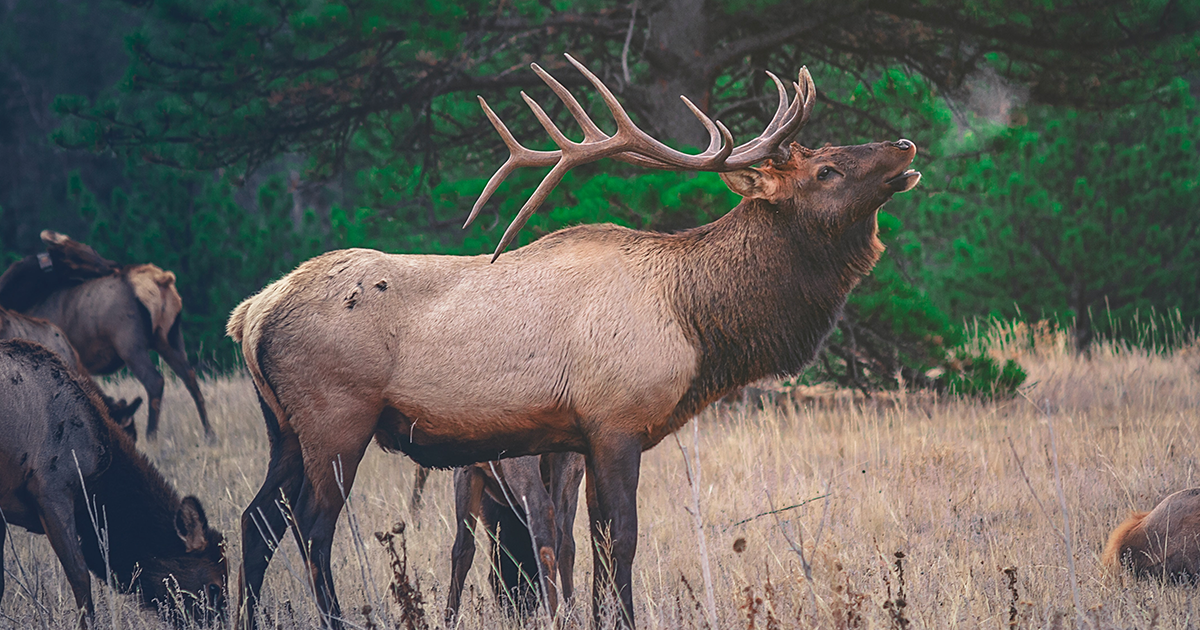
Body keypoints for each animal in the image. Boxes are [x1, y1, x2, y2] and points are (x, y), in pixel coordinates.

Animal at [446, 448, 585, 619]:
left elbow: (462, 549)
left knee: (543, 512)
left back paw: (553, 619)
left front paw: (449, 618)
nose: (520, 613)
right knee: (562, 539)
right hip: (571, 463)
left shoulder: (465, 468)